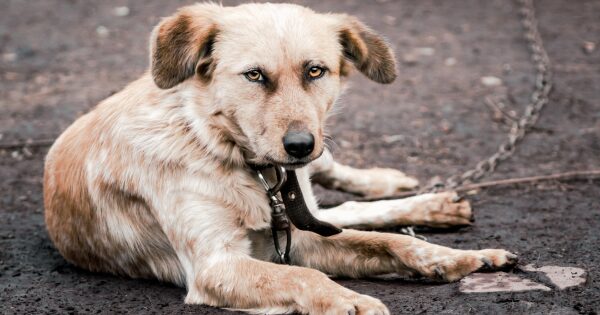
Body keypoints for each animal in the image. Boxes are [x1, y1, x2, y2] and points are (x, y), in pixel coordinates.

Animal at [44, 3, 516, 315]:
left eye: (315, 70)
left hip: (318, 170)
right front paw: (349, 301)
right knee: (340, 211)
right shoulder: (218, 264)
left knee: (343, 196)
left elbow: (388, 242)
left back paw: (410, 194)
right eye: (254, 75)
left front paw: (451, 257)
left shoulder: (297, 234)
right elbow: (304, 274)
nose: (300, 145)